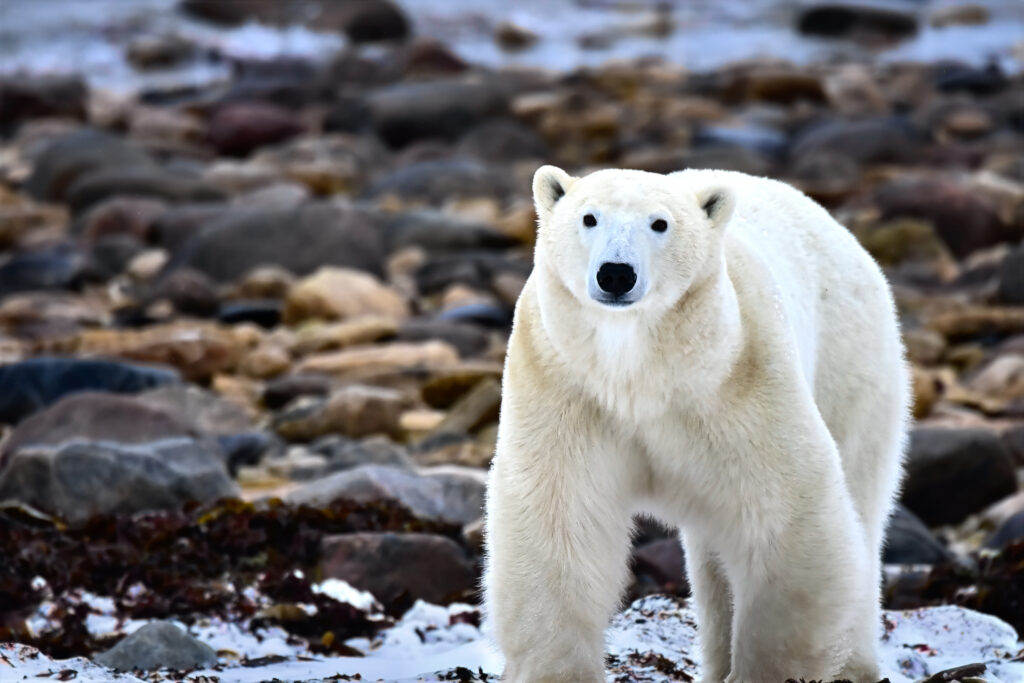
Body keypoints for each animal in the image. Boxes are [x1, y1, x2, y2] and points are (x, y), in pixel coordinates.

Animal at [483, 166, 909, 683]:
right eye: (589, 217)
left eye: (660, 223)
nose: (616, 273)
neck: (640, 376)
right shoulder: (565, 386)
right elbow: (559, 521)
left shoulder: (738, 383)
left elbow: (788, 516)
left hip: (849, 363)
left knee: (862, 507)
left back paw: (854, 665)